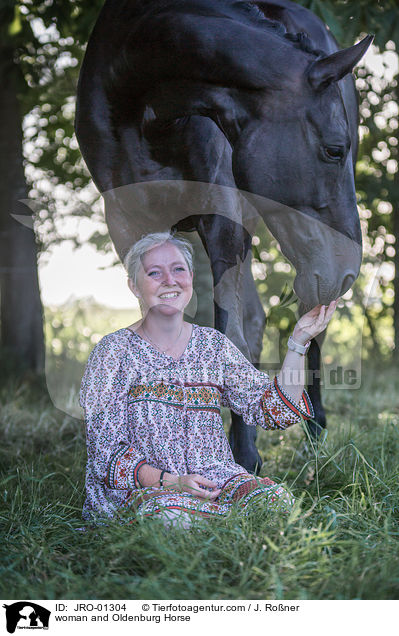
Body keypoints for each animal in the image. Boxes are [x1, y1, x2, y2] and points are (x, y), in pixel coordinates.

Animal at [76, 0, 376, 472]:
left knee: (301, 331)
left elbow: (229, 336)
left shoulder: (223, 220)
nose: (347, 271)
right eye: (334, 150)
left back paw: (314, 431)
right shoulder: (127, 224)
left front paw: (244, 457)